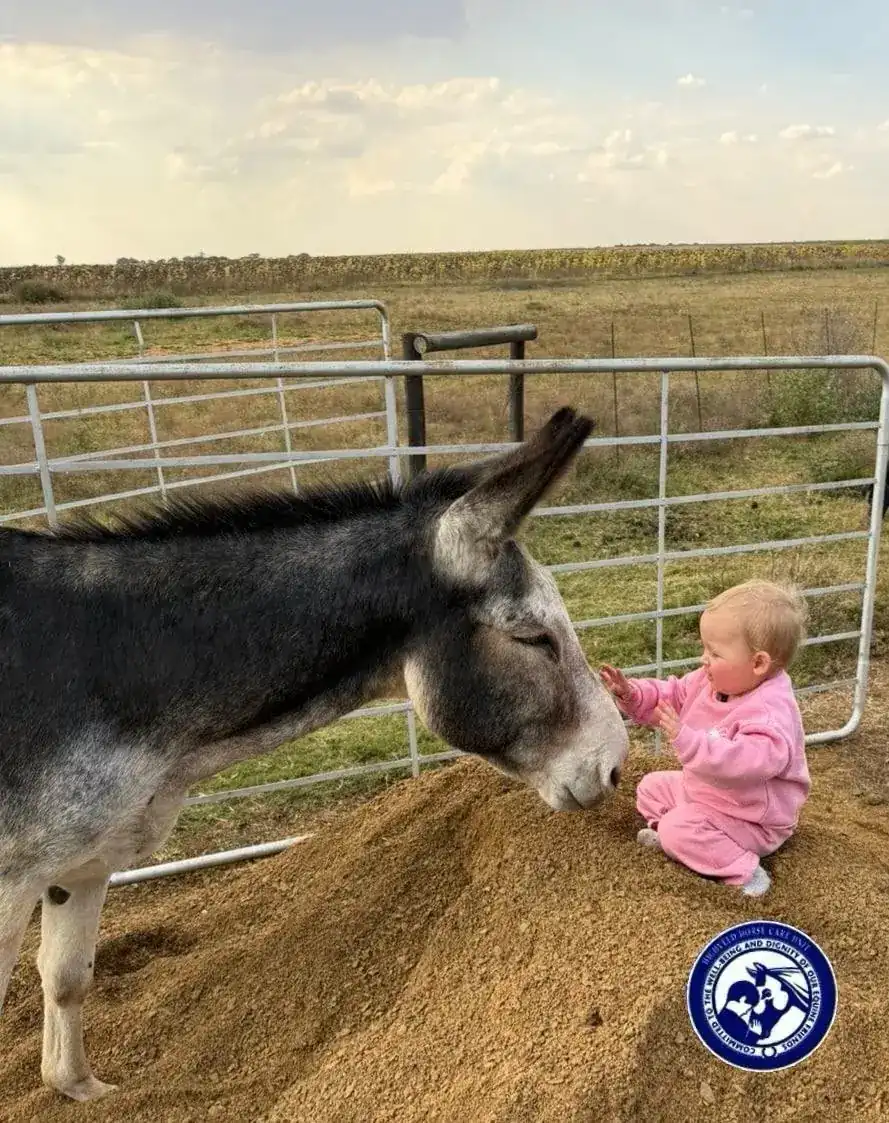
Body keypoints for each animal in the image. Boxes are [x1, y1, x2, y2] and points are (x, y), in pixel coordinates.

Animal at [0, 405, 629, 1101]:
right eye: (533, 637)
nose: (615, 764)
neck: (112, 659)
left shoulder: (82, 865)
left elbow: (68, 979)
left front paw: (79, 1089)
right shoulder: (13, 879)